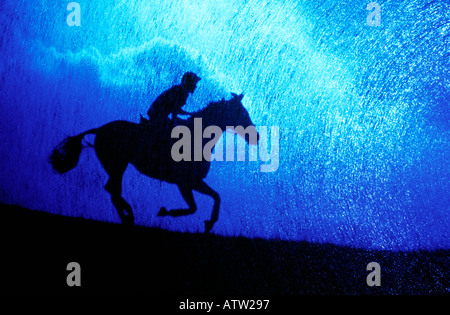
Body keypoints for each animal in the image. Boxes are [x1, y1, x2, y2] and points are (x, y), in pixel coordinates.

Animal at [48, 92, 260, 233]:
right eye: (241, 112)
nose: (256, 136)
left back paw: (128, 216)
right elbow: (195, 206)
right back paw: (129, 215)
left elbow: (215, 197)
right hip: (117, 165)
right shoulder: (185, 182)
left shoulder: (193, 182)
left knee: (112, 190)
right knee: (113, 190)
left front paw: (209, 223)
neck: (198, 137)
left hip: (116, 166)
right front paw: (167, 212)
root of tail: (100, 128)